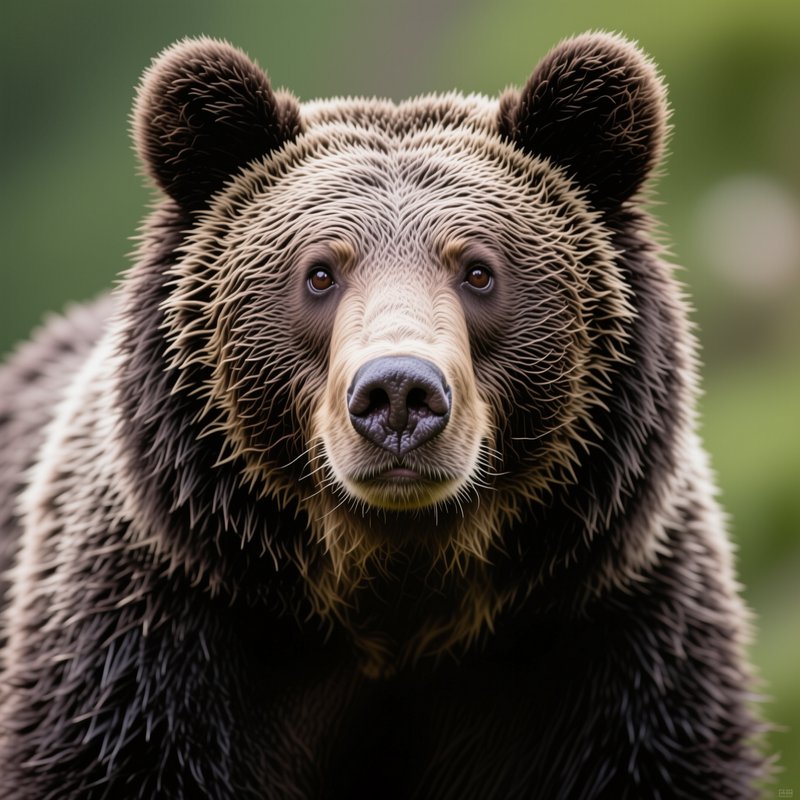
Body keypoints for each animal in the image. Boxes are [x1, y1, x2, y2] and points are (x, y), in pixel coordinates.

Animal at [0, 31, 767, 799]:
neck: (393, 600)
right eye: (319, 273)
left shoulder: (612, 645)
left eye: (479, 270)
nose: (399, 393)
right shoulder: (154, 651)